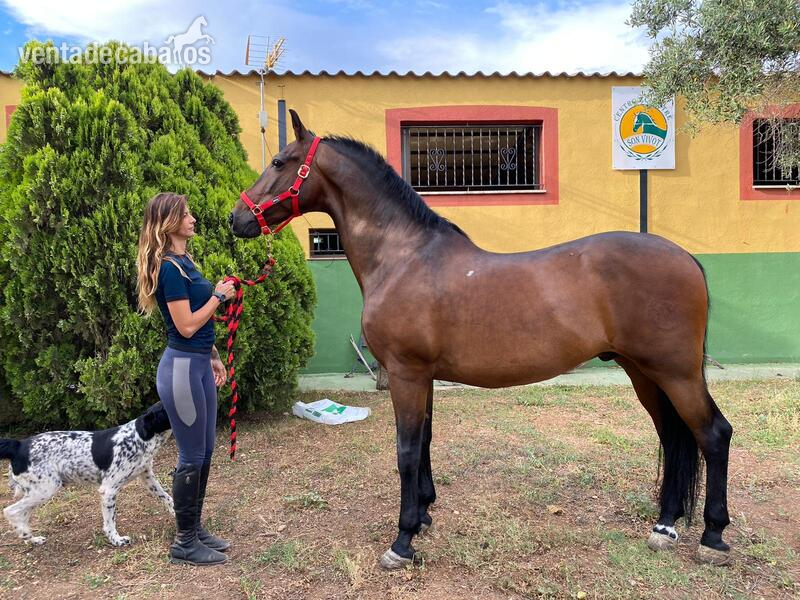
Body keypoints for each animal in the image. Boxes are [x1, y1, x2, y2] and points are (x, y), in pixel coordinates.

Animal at [229, 110, 733, 569]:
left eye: (278, 161)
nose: (236, 219)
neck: (403, 257)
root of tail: (686, 258)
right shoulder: (423, 377)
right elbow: (425, 442)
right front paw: (424, 514)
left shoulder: (406, 374)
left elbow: (406, 451)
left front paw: (402, 540)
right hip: (644, 372)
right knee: (672, 435)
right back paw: (664, 527)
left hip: (675, 372)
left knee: (712, 433)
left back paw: (712, 537)